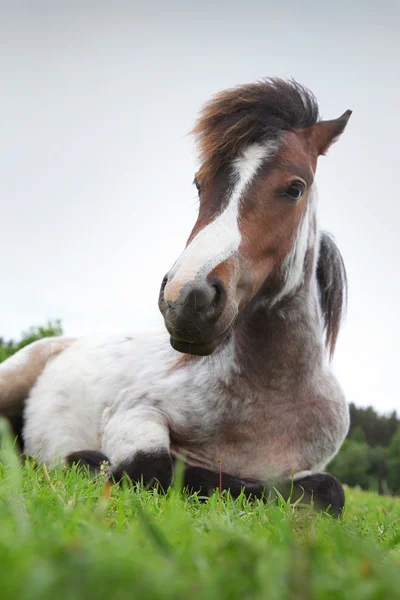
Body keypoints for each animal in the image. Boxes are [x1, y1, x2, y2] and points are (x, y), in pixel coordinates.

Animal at [0, 76, 350, 516]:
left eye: (295, 188)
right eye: (199, 183)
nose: (187, 297)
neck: (268, 399)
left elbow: (328, 491)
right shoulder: (135, 414)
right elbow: (152, 467)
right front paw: (88, 462)